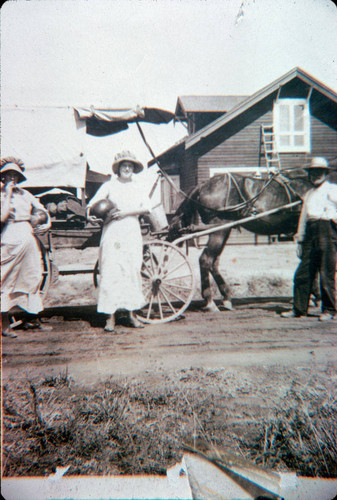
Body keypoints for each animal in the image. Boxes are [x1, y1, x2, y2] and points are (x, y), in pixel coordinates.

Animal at [168, 172, 312, 312]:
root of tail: (203, 185)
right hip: (220, 228)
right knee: (205, 260)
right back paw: (210, 301)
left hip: (223, 230)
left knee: (213, 262)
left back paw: (226, 297)